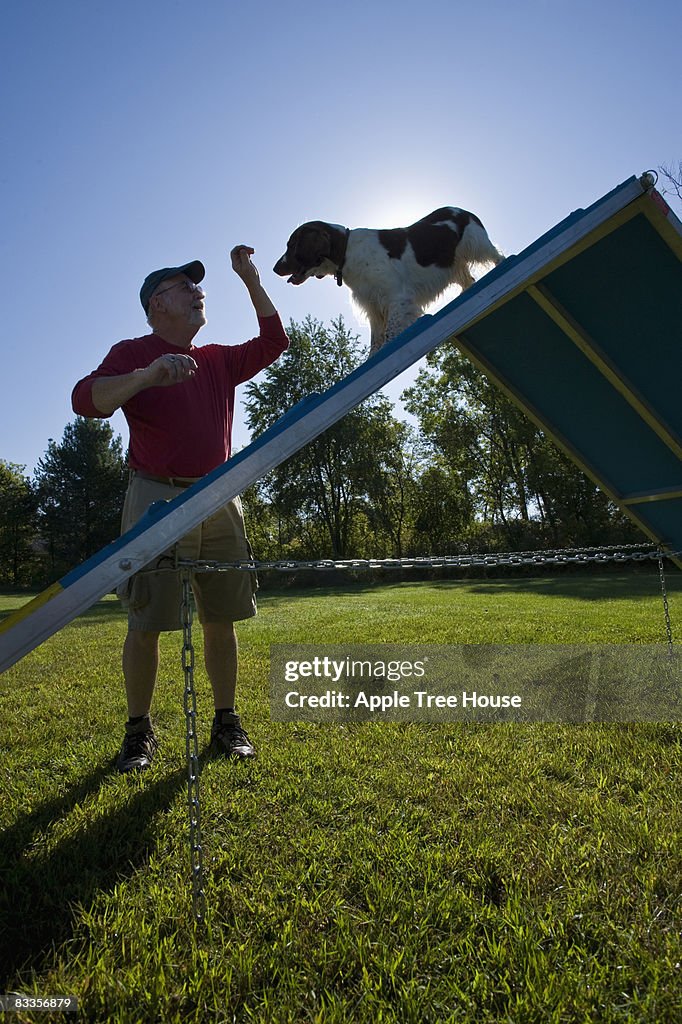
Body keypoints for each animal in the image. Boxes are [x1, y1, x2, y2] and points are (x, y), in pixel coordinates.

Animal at [274, 207, 501, 356]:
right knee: (468, 280)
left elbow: (390, 335)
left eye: (292, 245)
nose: (275, 268)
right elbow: (376, 340)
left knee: (497, 257)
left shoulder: (396, 298)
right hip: (454, 264)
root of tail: (460, 209)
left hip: (477, 244)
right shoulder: (373, 306)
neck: (346, 252)